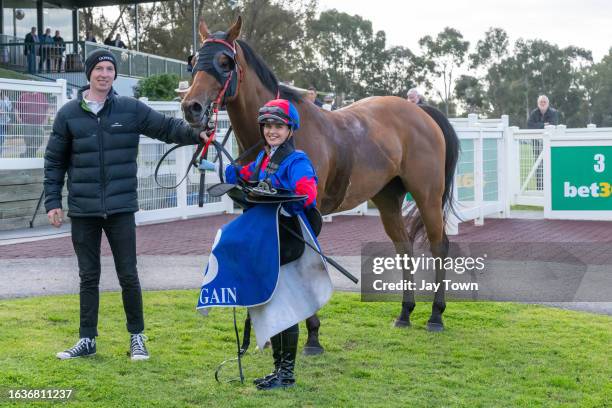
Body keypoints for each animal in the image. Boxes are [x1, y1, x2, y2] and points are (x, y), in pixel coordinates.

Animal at [182, 15, 460, 354]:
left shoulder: (303, 210)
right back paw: (405, 313)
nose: (191, 106)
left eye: (225, 62)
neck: (281, 136)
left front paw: (312, 335)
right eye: (194, 61)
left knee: (439, 244)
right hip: (387, 199)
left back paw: (436, 315)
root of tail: (421, 111)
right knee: (404, 246)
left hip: (428, 194)